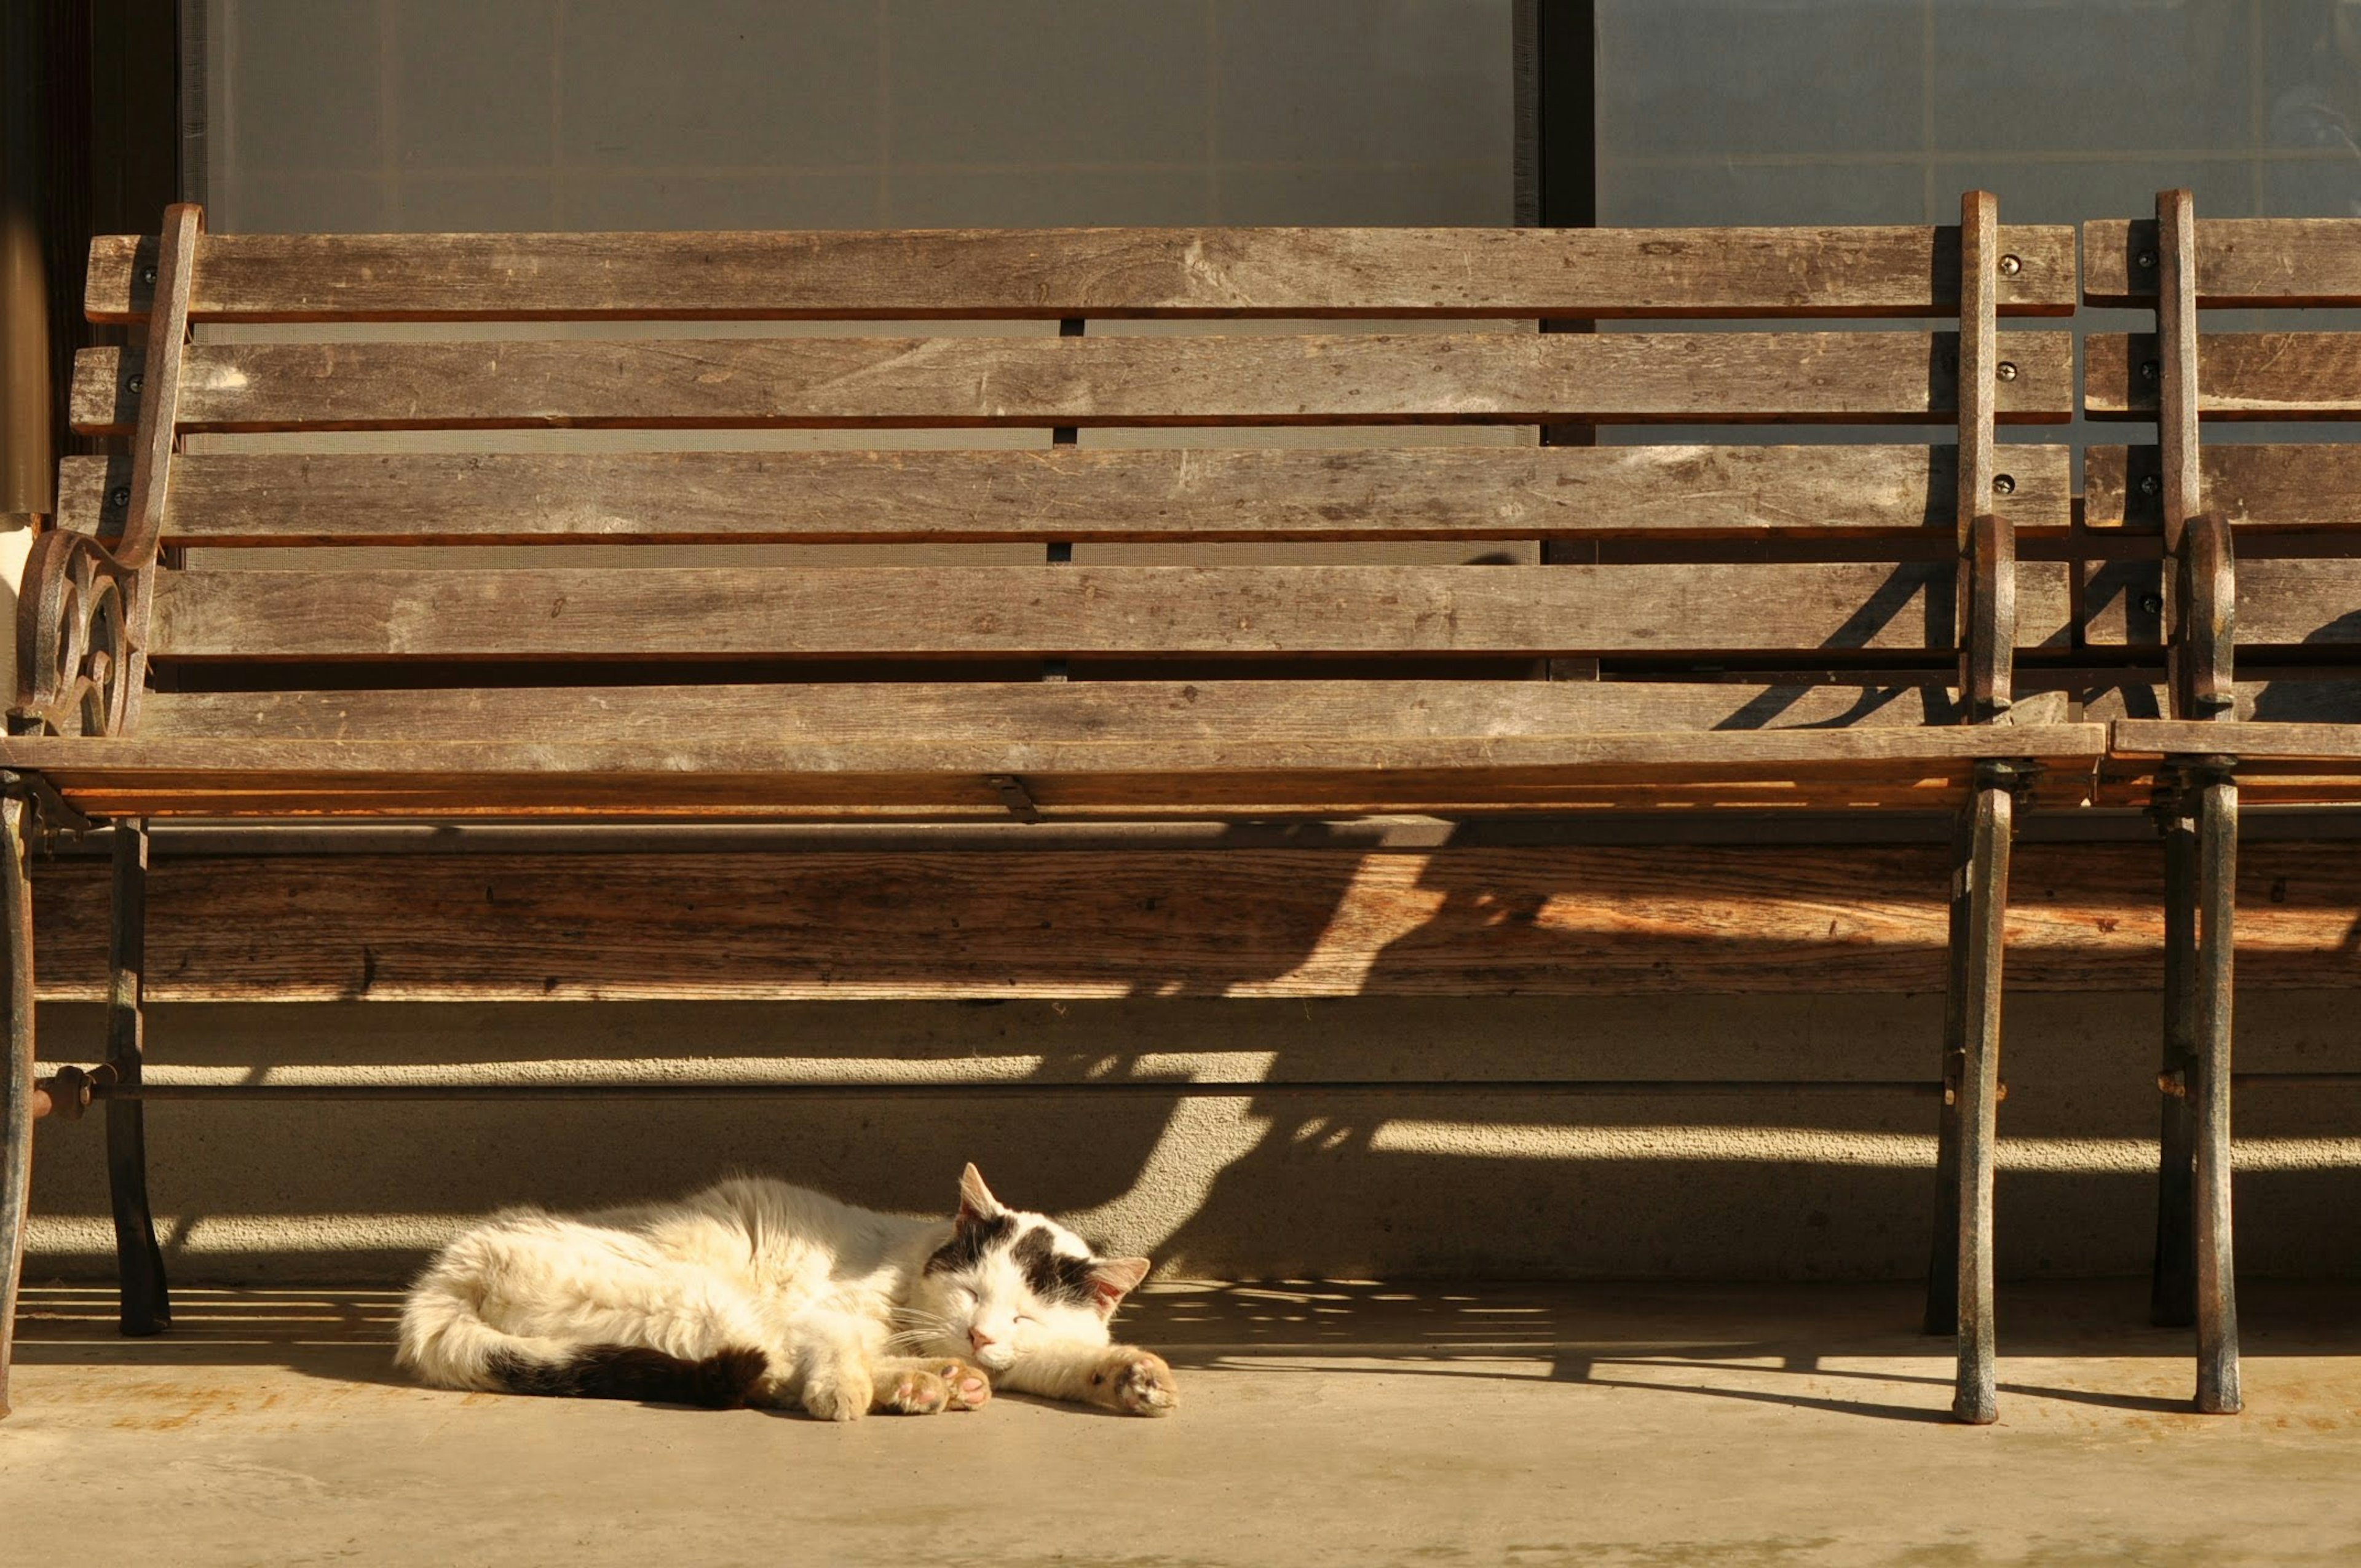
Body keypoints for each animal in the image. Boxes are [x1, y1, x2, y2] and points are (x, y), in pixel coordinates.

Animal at [398, 1162, 1190, 1417]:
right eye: (968, 1293)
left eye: (1022, 1319)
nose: (979, 1335)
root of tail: (448, 1269)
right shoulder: (822, 1312)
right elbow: (830, 1342)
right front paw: (844, 1391)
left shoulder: (1026, 1356)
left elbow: (1067, 1364)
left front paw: (1134, 1377)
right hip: (697, 1295)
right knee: (773, 1367)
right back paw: (912, 1383)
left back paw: (942, 1380)